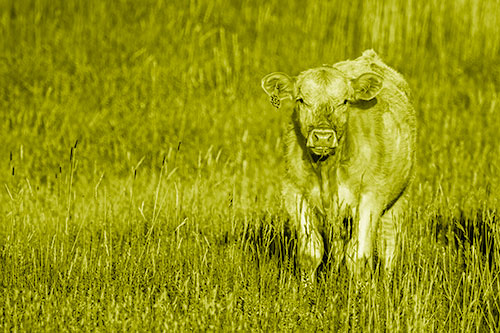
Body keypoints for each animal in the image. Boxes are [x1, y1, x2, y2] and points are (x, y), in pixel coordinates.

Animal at [260, 48, 416, 278]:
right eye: (301, 100)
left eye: (344, 101)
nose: (323, 136)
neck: (327, 170)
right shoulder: (295, 193)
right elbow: (310, 253)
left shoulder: (370, 198)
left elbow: (359, 257)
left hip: (400, 196)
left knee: (389, 245)